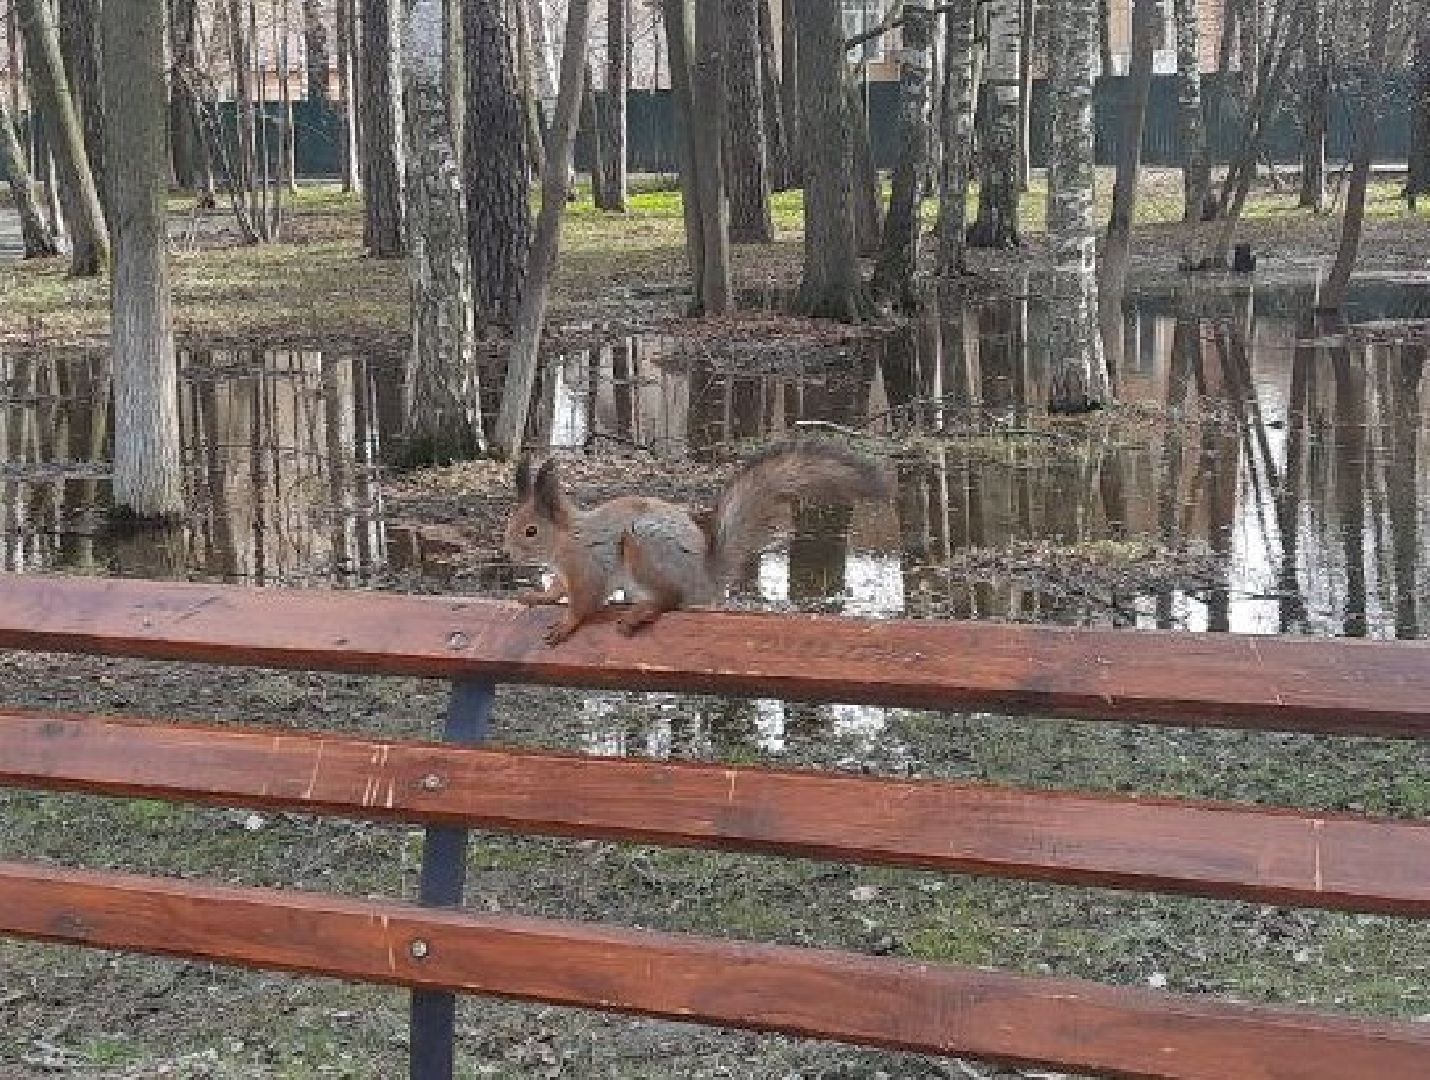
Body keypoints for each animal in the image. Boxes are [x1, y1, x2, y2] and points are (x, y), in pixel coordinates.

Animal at [502, 441, 893, 645]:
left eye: (530, 531)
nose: (508, 552)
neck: (565, 541)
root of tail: (705, 578)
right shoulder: (563, 572)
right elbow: (556, 590)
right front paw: (538, 596)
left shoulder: (589, 567)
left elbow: (585, 602)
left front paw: (566, 625)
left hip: (644, 546)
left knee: (671, 599)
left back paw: (641, 612)